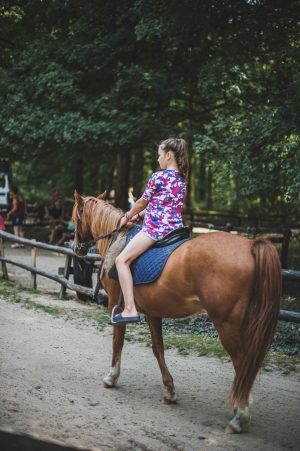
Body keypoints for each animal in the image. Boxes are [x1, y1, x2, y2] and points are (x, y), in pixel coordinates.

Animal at [72, 192, 282, 434]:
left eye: (74, 217)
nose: (77, 248)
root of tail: (251, 245)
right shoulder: (153, 312)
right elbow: (158, 349)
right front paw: (169, 391)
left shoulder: (117, 304)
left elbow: (118, 342)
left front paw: (111, 377)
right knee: (248, 365)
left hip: (227, 325)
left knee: (242, 364)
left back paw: (240, 417)